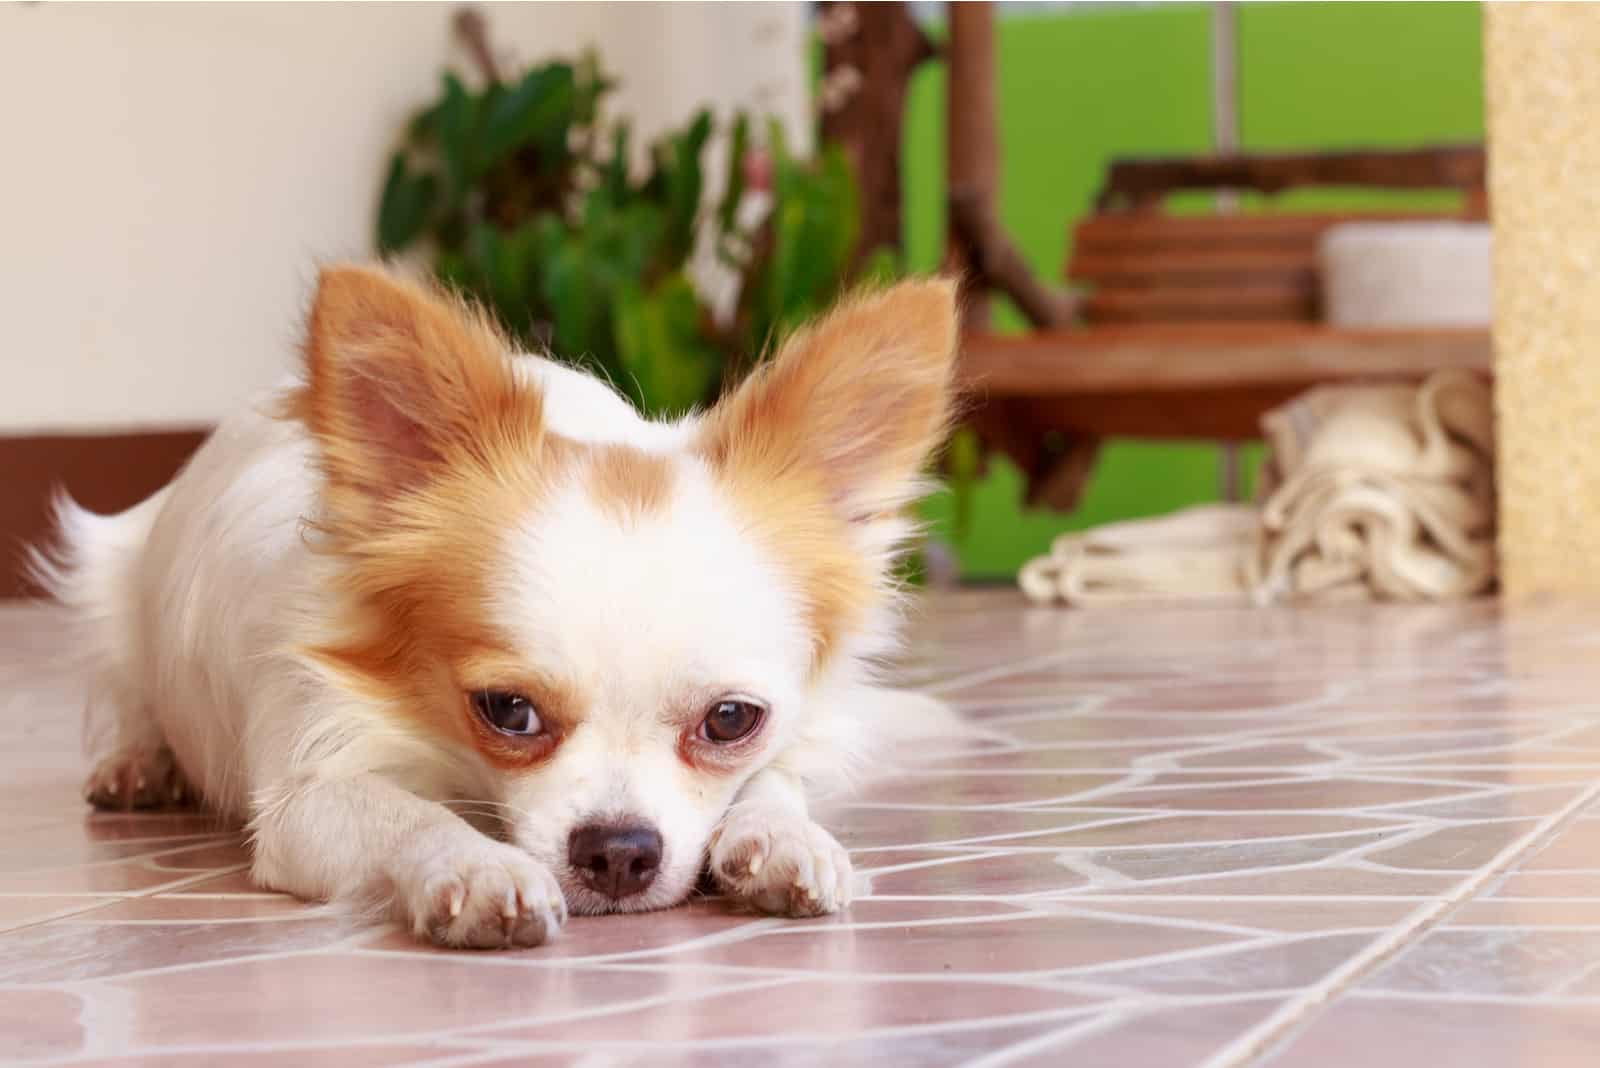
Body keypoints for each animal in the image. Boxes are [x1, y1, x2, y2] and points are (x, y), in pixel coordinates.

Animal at [34, 267, 960, 952]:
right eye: (507, 712)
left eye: (731, 720)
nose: (618, 851)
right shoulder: (306, 795)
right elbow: (408, 814)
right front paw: (478, 869)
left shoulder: (792, 729)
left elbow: (776, 780)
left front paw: (783, 839)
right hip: (106, 585)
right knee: (130, 698)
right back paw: (138, 764)